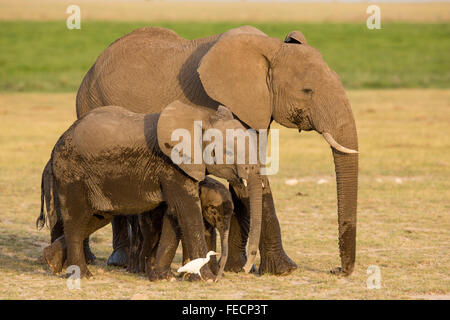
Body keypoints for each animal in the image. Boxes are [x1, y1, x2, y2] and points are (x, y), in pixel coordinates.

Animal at [76, 25, 358, 276]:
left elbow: (246, 178)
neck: (270, 48)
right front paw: (284, 271)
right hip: (90, 103)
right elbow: (250, 179)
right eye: (307, 90)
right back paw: (110, 261)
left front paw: (237, 268)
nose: (337, 270)